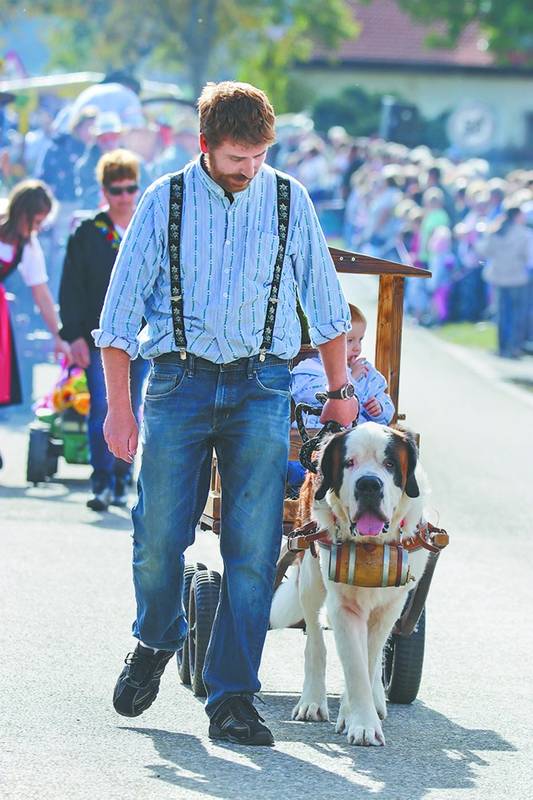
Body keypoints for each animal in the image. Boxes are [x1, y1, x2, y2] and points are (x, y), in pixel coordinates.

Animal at [270, 422, 428, 748]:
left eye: (389, 464)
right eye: (349, 463)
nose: (369, 485)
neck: (371, 546)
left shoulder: (391, 606)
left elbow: (368, 661)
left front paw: (355, 714)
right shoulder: (342, 606)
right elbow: (354, 664)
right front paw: (362, 724)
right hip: (310, 575)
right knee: (315, 639)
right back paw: (312, 701)